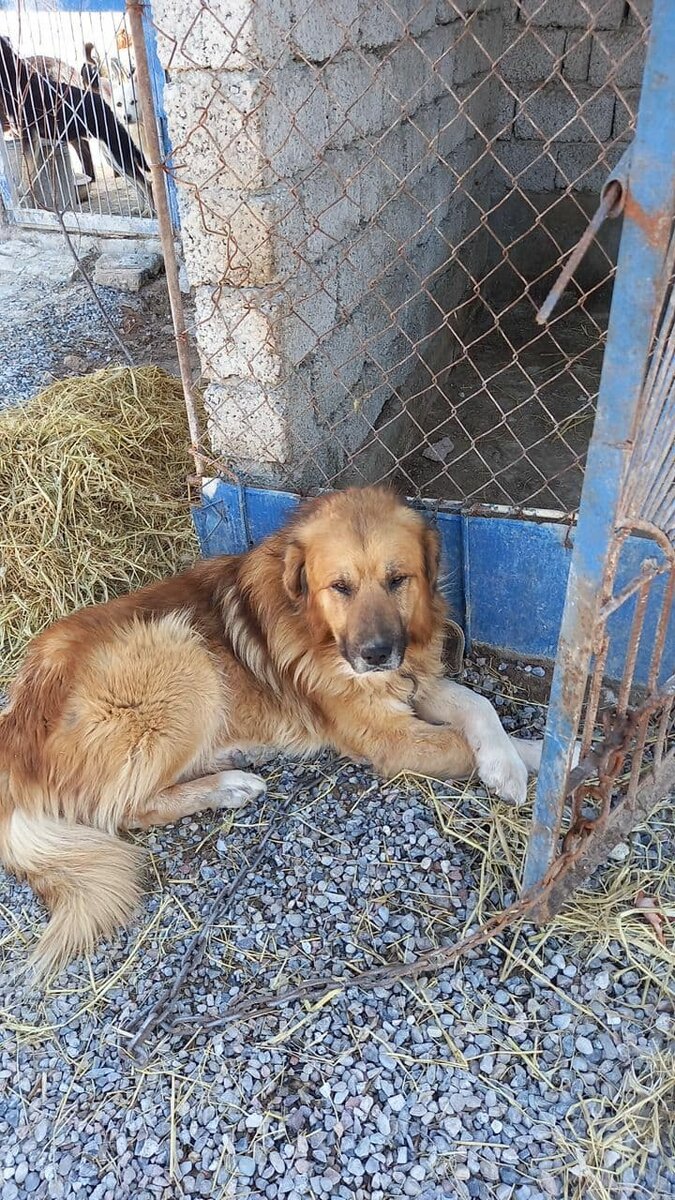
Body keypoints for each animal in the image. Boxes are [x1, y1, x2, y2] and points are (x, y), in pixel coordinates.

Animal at [0, 482, 540, 979]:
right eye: (340, 586)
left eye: (397, 579)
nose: (377, 654)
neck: (316, 628)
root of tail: (16, 728)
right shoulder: (388, 735)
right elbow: (458, 741)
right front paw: (530, 762)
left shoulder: (411, 683)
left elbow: (479, 706)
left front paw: (515, 759)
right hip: (180, 652)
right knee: (126, 808)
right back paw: (228, 786)